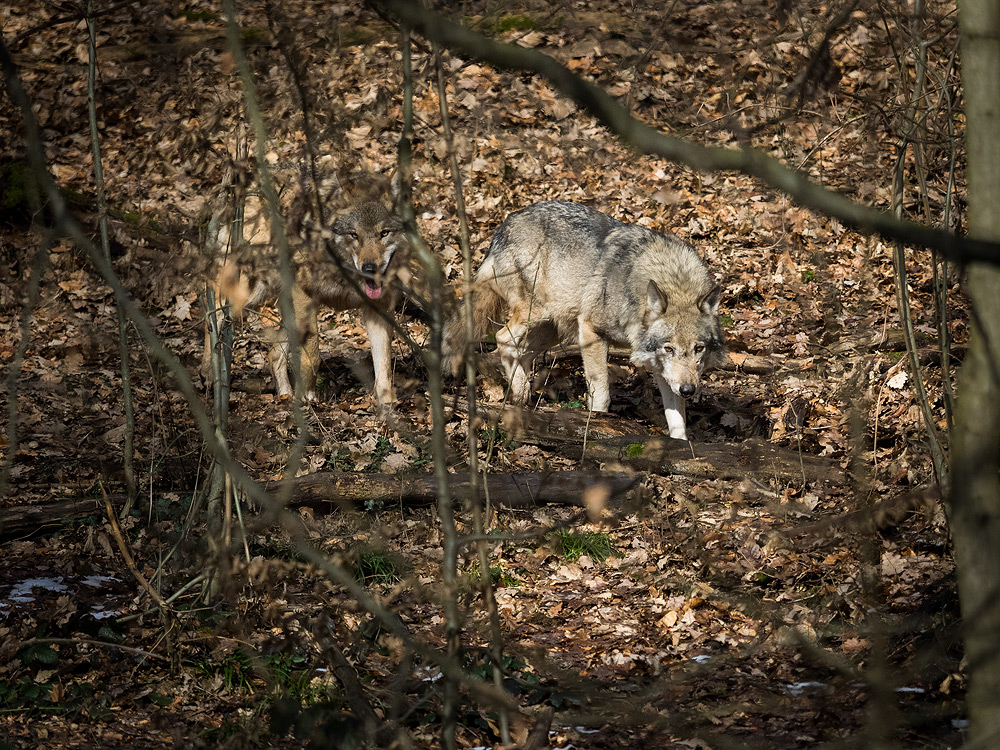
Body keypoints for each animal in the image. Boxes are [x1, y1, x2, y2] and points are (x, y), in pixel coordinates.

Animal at [450, 203, 724, 444]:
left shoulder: (662, 369)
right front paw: (598, 429)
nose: (689, 390)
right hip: (537, 314)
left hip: (553, 329)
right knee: (503, 338)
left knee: (522, 353)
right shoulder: (591, 330)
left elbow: (677, 420)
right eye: (669, 349)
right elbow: (601, 393)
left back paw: (525, 399)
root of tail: (504, 226)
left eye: (699, 349)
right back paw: (518, 395)